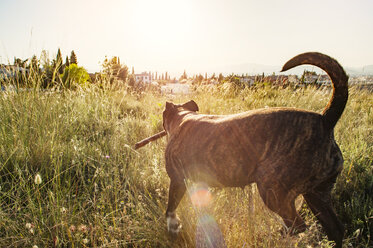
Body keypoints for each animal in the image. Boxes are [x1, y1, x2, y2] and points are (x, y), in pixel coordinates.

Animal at [161, 51, 348, 246]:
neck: (183, 116)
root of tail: (325, 120)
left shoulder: (177, 179)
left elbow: (170, 208)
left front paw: (173, 226)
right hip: (317, 195)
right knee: (335, 229)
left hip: (273, 190)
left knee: (297, 224)